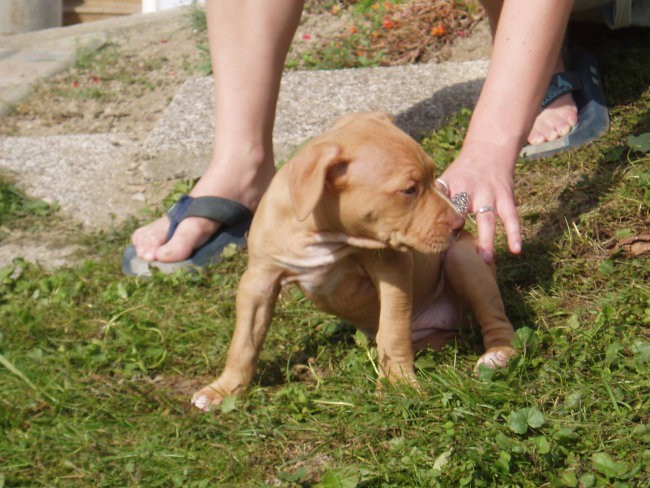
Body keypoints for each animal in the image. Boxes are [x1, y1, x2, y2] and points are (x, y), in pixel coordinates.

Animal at [190, 111, 512, 412]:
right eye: (409, 190)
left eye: (435, 177)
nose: (459, 223)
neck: (324, 234)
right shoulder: (259, 281)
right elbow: (244, 341)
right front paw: (224, 389)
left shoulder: (392, 266)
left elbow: (392, 330)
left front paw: (398, 385)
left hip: (465, 261)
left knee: (494, 319)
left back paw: (497, 355)